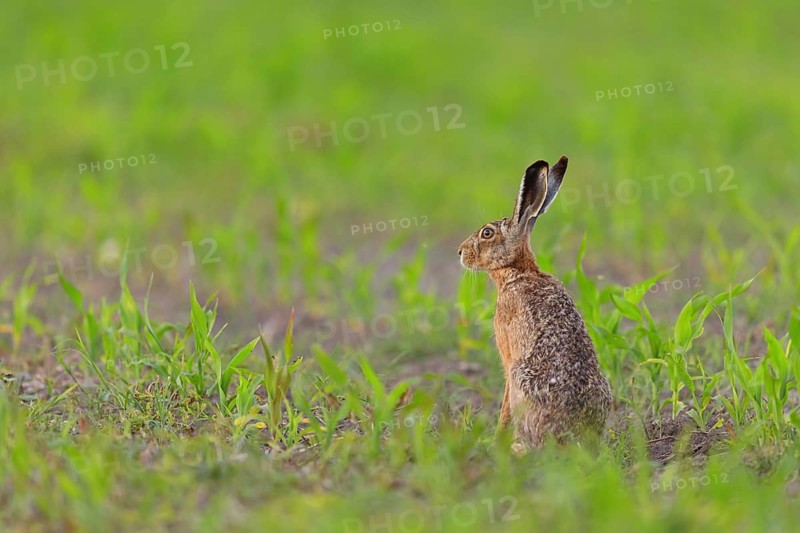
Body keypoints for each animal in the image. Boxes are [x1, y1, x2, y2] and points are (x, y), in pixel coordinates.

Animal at [458, 156, 611, 451]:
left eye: (487, 233)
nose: (460, 251)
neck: (517, 270)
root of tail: (575, 436)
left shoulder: (508, 357)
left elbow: (505, 401)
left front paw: (496, 438)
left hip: (521, 377)